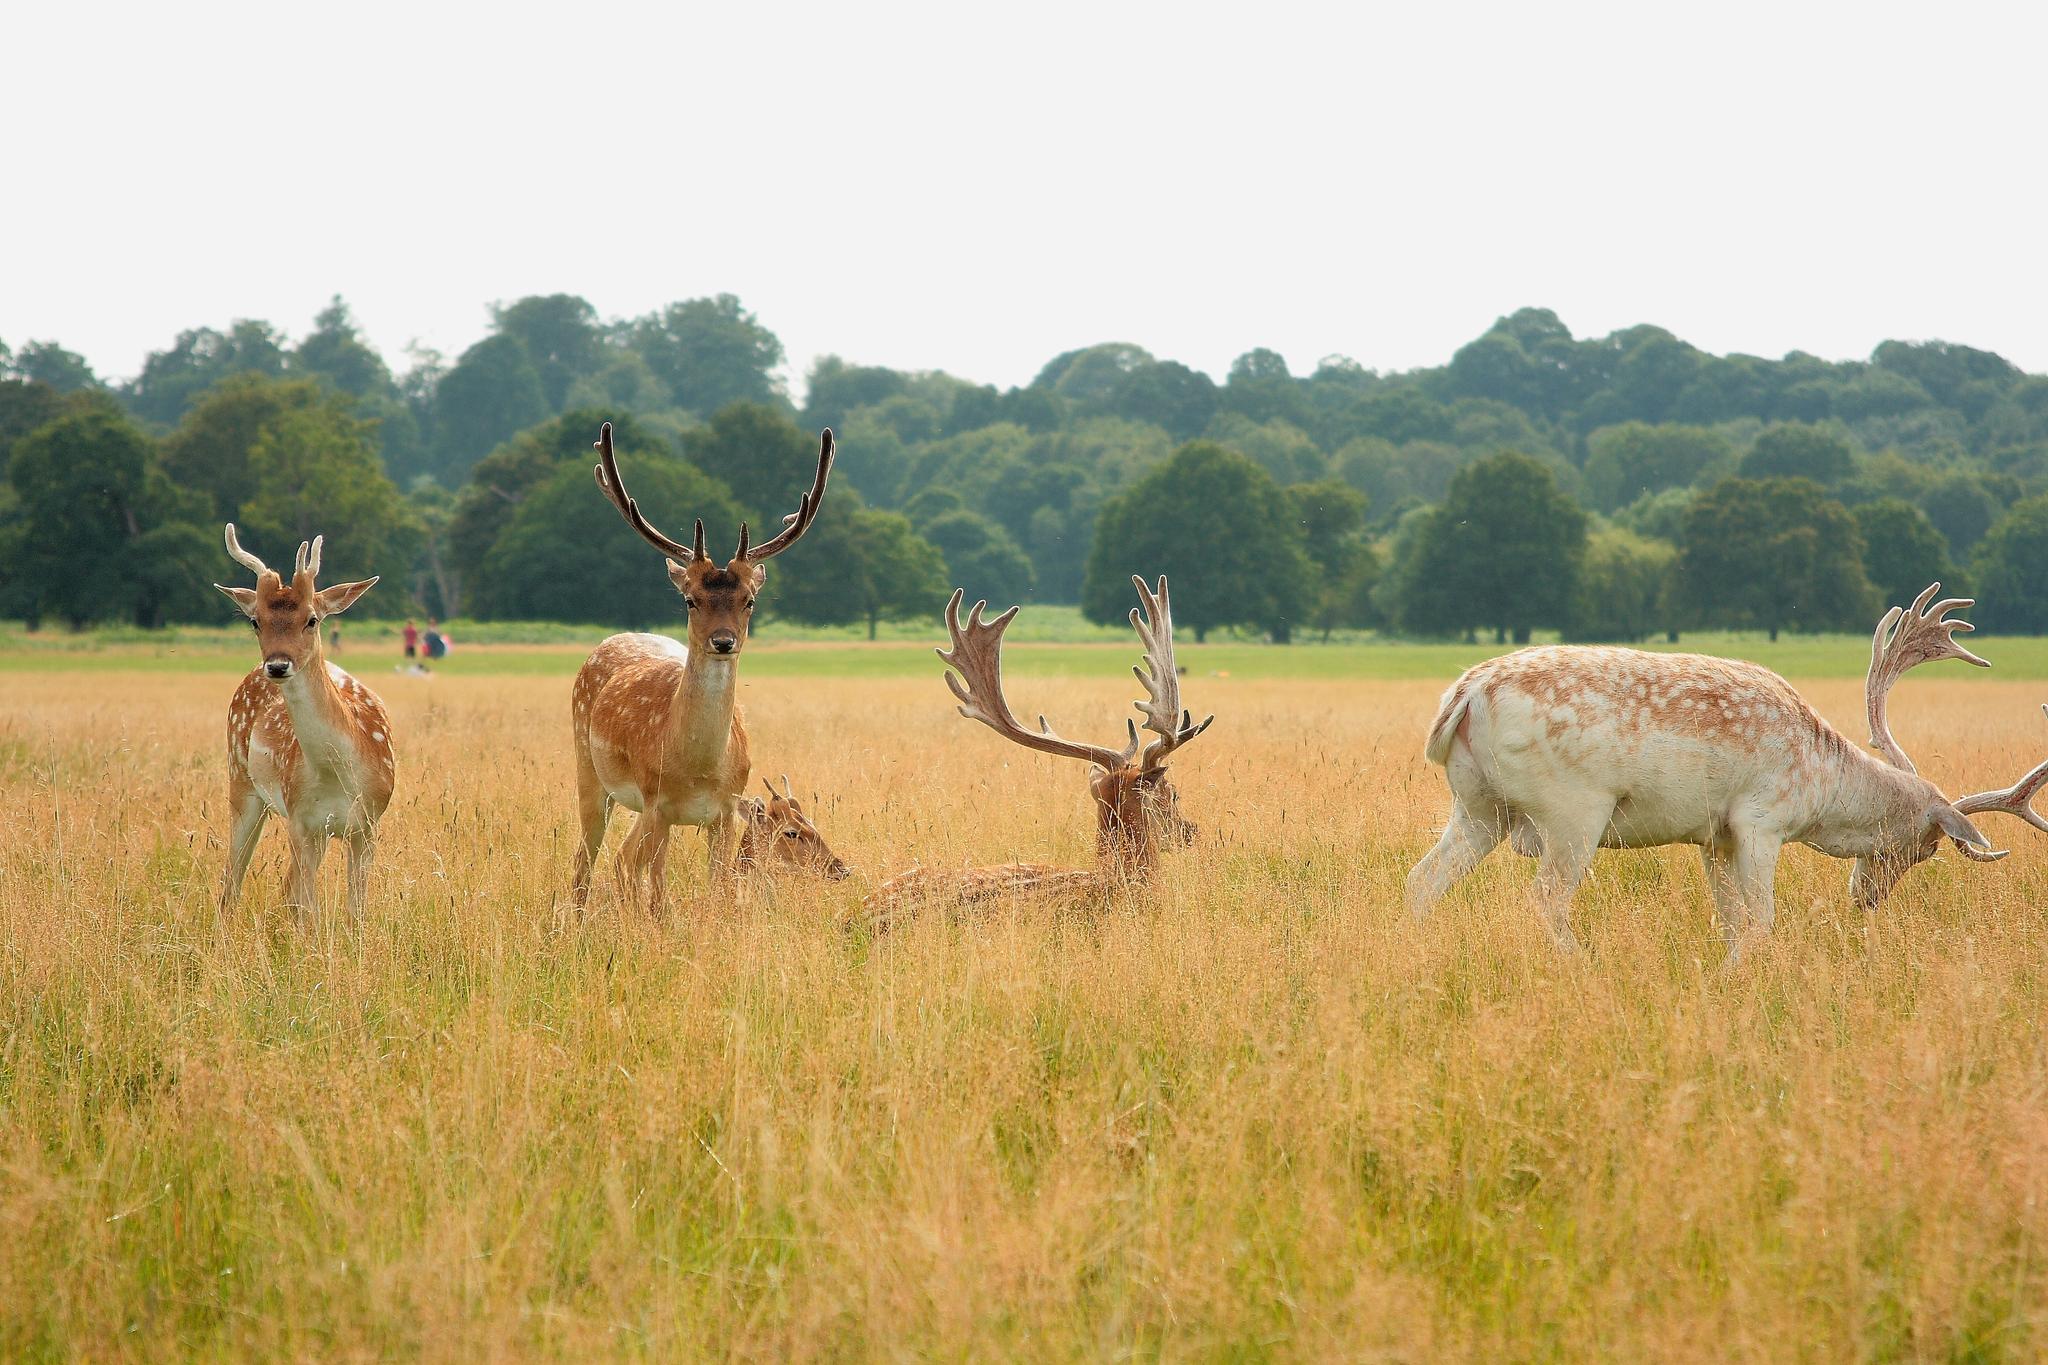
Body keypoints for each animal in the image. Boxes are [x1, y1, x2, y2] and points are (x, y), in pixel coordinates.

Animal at [214, 523, 393, 916]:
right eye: (255, 621)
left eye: (312, 619)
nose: (278, 665)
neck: (339, 773)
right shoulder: (300, 822)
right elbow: (307, 910)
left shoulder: (368, 824)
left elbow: (355, 911)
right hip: (241, 780)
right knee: (232, 880)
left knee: (280, 887)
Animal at [569, 423, 831, 916]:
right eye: (690, 599)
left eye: (750, 600)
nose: (723, 641)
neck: (698, 769)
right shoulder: (657, 804)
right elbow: (657, 895)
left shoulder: (725, 810)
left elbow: (721, 888)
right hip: (590, 772)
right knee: (584, 861)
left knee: (615, 857)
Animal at [1409, 581, 2048, 957]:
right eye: (1924, 847)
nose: (1865, 898)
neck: (1820, 786)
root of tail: (1463, 697)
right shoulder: (1761, 820)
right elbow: (1762, 919)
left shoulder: (1712, 835)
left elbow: (1731, 919)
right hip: (1573, 810)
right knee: (1546, 898)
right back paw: (1580, 965)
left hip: (1477, 806)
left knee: (1423, 879)